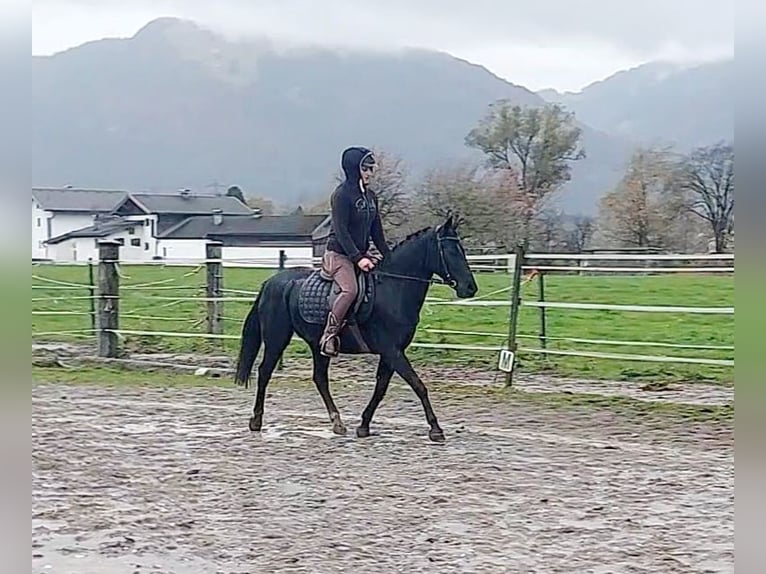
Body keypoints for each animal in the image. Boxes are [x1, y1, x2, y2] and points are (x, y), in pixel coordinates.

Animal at [233, 214, 479, 442]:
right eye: (450, 250)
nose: (470, 288)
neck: (393, 288)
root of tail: (272, 282)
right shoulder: (392, 351)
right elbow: (418, 385)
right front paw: (436, 429)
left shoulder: (391, 352)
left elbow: (381, 388)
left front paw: (364, 426)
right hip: (277, 338)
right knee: (265, 371)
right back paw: (256, 420)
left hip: (317, 344)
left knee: (319, 378)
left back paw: (337, 422)